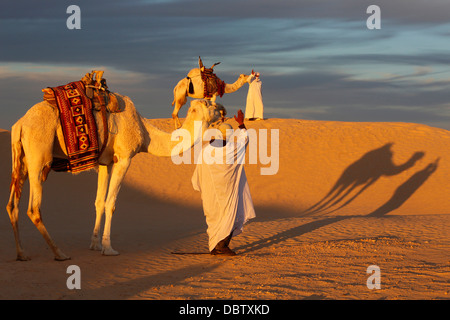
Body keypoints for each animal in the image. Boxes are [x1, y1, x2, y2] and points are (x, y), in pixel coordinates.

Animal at [6, 94, 225, 262]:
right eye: (209, 103)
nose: (223, 110)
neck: (144, 131)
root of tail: (20, 124)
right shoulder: (124, 158)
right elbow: (111, 203)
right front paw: (108, 248)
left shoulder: (105, 162)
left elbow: (99, 201)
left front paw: (94, 244)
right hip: (39, 157)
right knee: (33, 208)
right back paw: (59, 253)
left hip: (21, 160)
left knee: (12, 205)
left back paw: (21, 254)